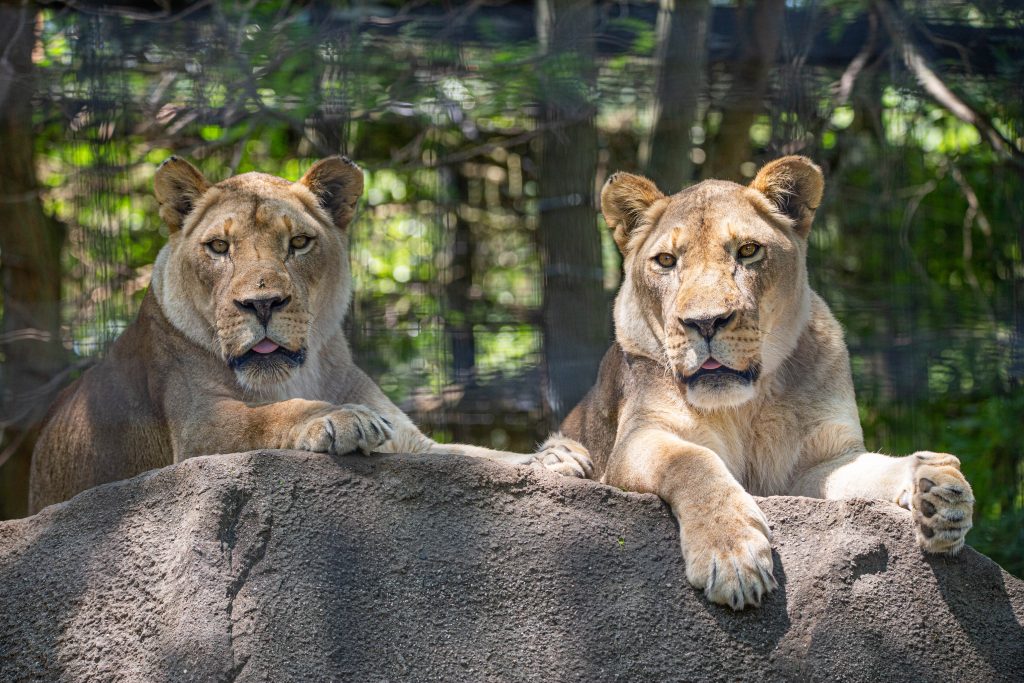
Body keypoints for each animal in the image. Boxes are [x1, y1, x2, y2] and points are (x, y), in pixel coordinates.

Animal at [28, 156, 590, 513]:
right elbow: (270, 416)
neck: (292, 375)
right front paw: (341, 419)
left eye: (298, 243)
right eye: (218, 247)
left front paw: (554, 457)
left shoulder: (411, 438)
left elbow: (472, 454)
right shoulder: (198, 430)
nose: (262, 304)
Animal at [537, 155, 974, 610]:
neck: (746, 406)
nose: (705, 322)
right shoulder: (639, 438)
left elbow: (873, 471)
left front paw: (940, 491)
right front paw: (731, 555)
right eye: (666, 261)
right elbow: (695, 462)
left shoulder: (817, 464)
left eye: (748, 251)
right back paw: (561, 460)